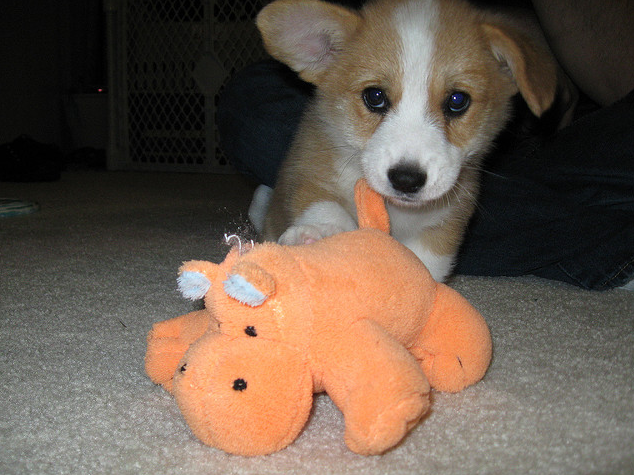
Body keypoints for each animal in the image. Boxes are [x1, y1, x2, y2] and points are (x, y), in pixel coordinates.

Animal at [251, 0, 556, 282]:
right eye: (374, 96)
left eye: (458, 100)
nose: (406, 180)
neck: (396, 212)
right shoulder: (312, 172)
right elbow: (326, 208)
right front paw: (321, 235)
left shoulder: (445, 222)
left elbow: (426, 263)